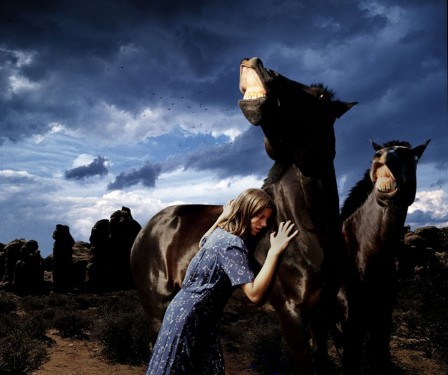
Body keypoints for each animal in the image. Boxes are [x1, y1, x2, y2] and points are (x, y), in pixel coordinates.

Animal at [130, 57, 356, 374]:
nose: (260, 66)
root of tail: (147, 228)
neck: (309, 231)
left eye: (322, 97)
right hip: (156, 310)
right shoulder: (292, 312)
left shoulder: (321, 312)